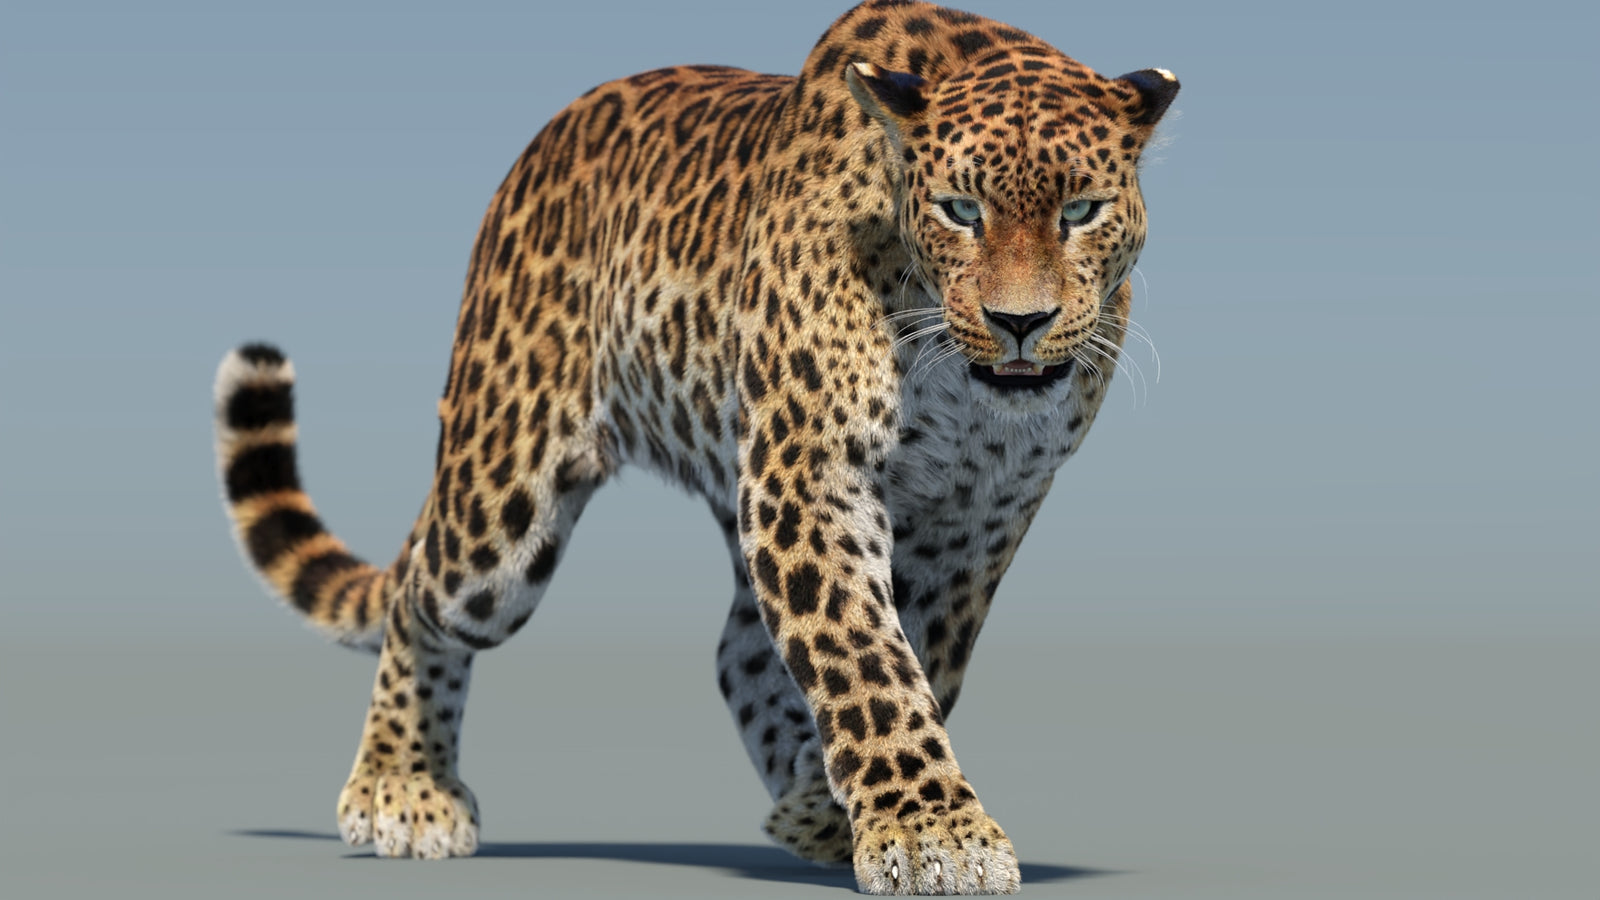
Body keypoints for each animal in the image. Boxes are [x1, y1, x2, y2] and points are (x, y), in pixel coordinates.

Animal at [212, 1, 1178, 894]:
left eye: (1082, 211)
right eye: (960, 211)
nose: (1022, 323)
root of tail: (538, 146)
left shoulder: (978, 516)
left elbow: (920, 655)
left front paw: (847, 812)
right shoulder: (812, 476)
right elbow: (863, 656)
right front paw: (931, 830)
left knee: (739, 653)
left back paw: (802, 797)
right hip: (502, 501)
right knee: (423, 594)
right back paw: (402, 788)